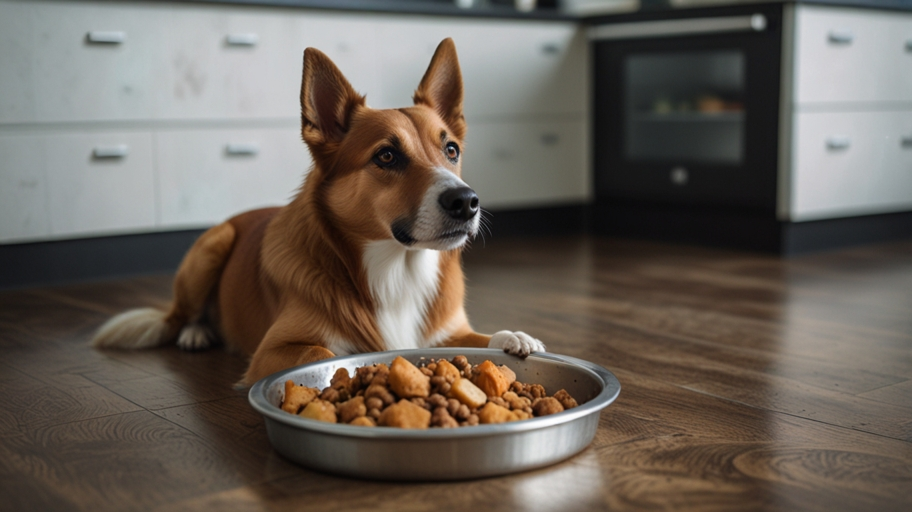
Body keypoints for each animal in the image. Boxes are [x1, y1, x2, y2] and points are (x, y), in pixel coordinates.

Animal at [90, 38, 544, 386]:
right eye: (386, 156)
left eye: (451, 150)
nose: (466, 202)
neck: (397, 268)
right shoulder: (273, 351)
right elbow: (324, 352)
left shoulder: (447, 332)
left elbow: (481, 338)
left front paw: (514, 338)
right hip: (212, 246)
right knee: (180, 315)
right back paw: (196, 332)